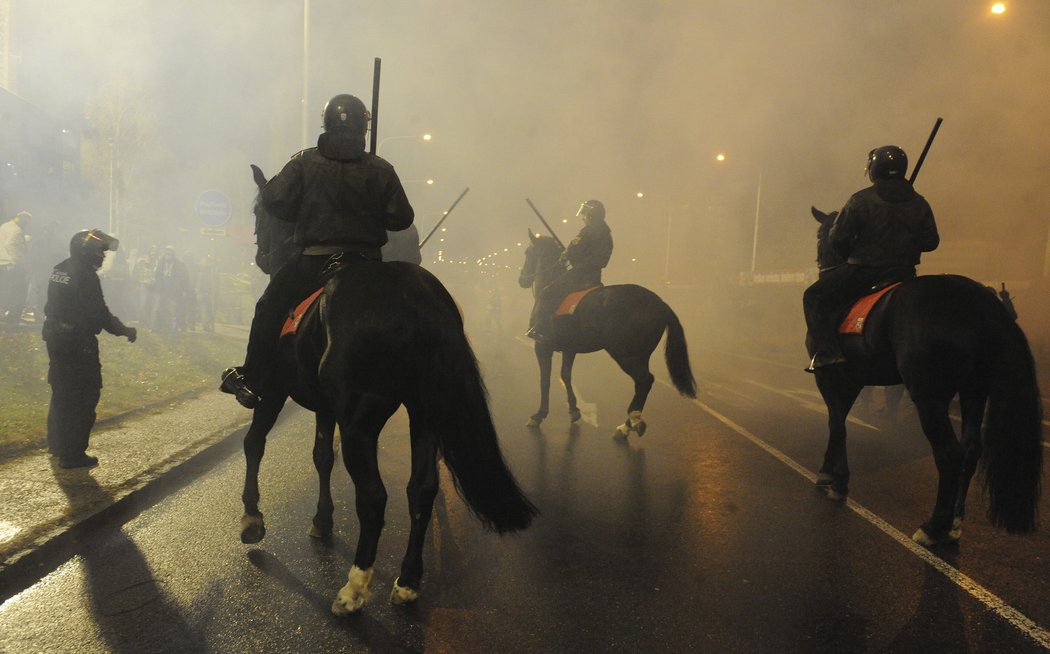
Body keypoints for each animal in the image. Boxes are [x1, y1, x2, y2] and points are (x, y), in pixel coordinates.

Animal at [241, 167, 537, 613]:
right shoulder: (326, 408)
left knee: (374, 497)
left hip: (361, 422)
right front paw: (322, 521)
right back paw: (408, 580)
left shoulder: (274, 390)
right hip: (424, 413)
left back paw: (355, 588)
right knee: (422, 489)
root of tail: (416, 300)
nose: (261, 256)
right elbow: (321, 457)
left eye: (259, 211)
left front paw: (252, 519)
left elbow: (254, 442)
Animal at [518, 229, 697, 434]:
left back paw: (631, 423)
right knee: (642, 383)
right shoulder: (569, 349)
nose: (522, 279)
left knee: (644, 380)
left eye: (528, 252)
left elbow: (545, 380)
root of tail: (659, 303)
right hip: (641, 355)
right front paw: (574, 410)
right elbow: (565, 375)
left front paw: (538, 415)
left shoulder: (542, 346)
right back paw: (628, 424)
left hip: (625, 354)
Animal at [806, 206, 1037, 545]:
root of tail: (980, 302)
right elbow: (839, 421)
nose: (822, 261)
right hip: (974, 390)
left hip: (930, 396)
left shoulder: (831, 377)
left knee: (949, 454)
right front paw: (831, 473)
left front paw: (835, 479)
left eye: (821, 236)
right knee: (971, 450)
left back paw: (934, 526)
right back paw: (954, 522)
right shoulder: (854, 380)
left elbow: (836, 423)